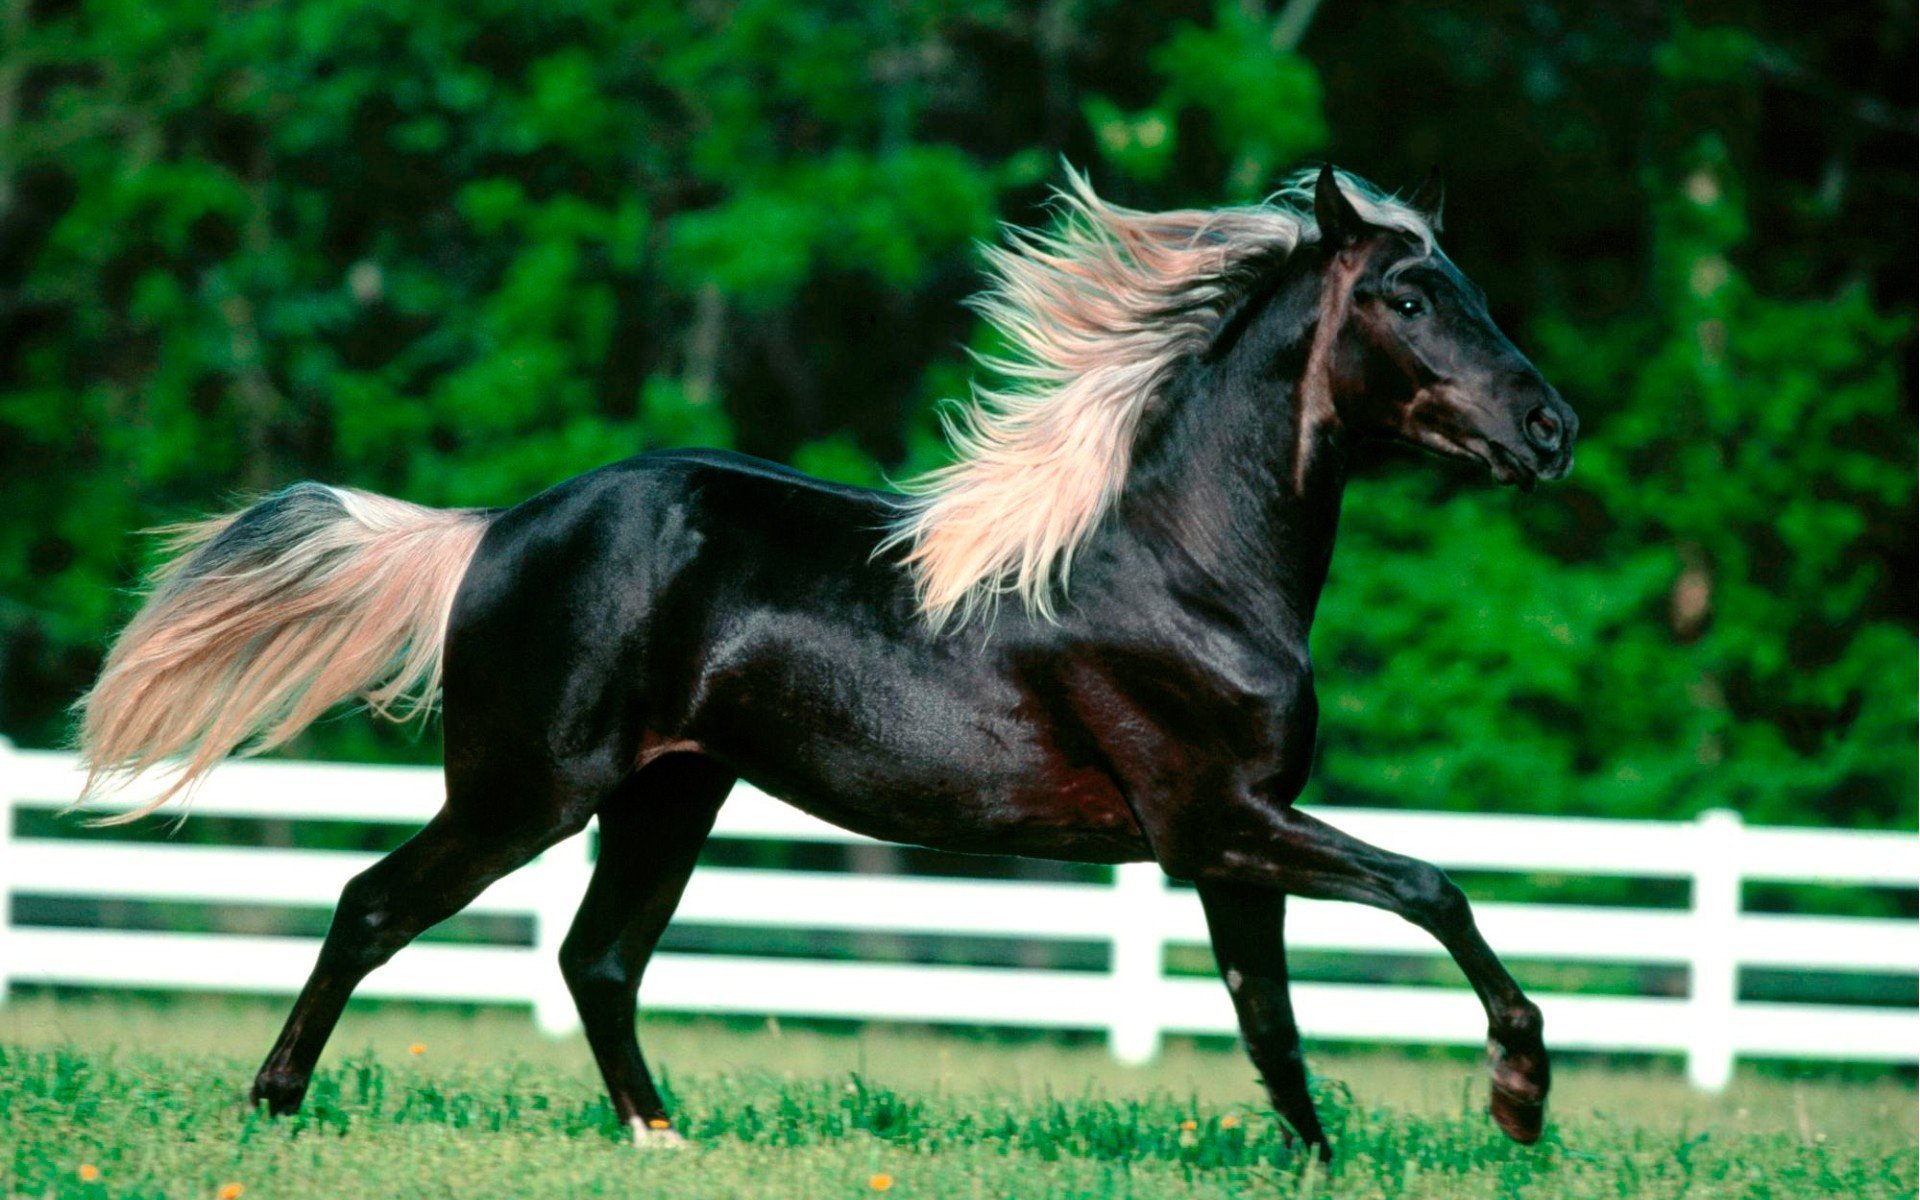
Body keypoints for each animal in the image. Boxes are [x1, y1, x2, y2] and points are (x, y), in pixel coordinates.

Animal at [75, 164, 1577, 1159]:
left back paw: (663, 1140)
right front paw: (1518, 1098)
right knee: (375, 906)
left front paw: (1322, 1163)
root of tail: (495, 529)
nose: (1552, 431)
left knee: (595, 959)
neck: (1184, 566)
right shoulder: (1216, 819)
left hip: (666, 796)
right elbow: (1434, 890)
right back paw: (273, 1110)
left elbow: (1270, 1020)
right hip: (526, 792)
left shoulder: (1230, 838)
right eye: (1409, 294)